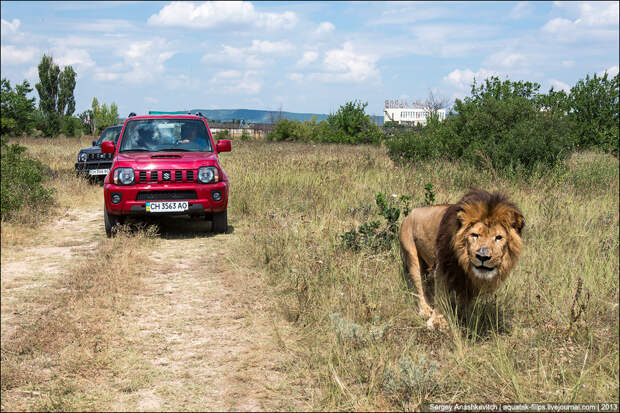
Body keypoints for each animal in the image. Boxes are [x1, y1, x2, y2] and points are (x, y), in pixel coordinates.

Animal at [400, 189, 524, 328]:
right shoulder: (443, 266)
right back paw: (425, 310)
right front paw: (438, 321)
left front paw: (469, 320)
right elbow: (441, 295)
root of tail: (410, 213)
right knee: (419, 285)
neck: (464, 261)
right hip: (411, 254)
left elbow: (466, 303)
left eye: (498, 237)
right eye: (474, 235)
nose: (483, 257)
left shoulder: (468, 281)